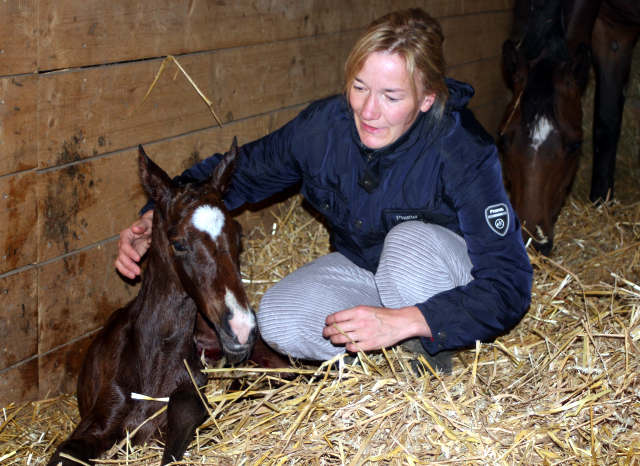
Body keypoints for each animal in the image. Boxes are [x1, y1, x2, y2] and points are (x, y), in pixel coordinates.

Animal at [502, 0, 636, 255]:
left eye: (575, 146)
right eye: (503, 138)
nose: (531, 244)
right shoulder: (612, 32)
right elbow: (607, 125)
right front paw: (601, 202)